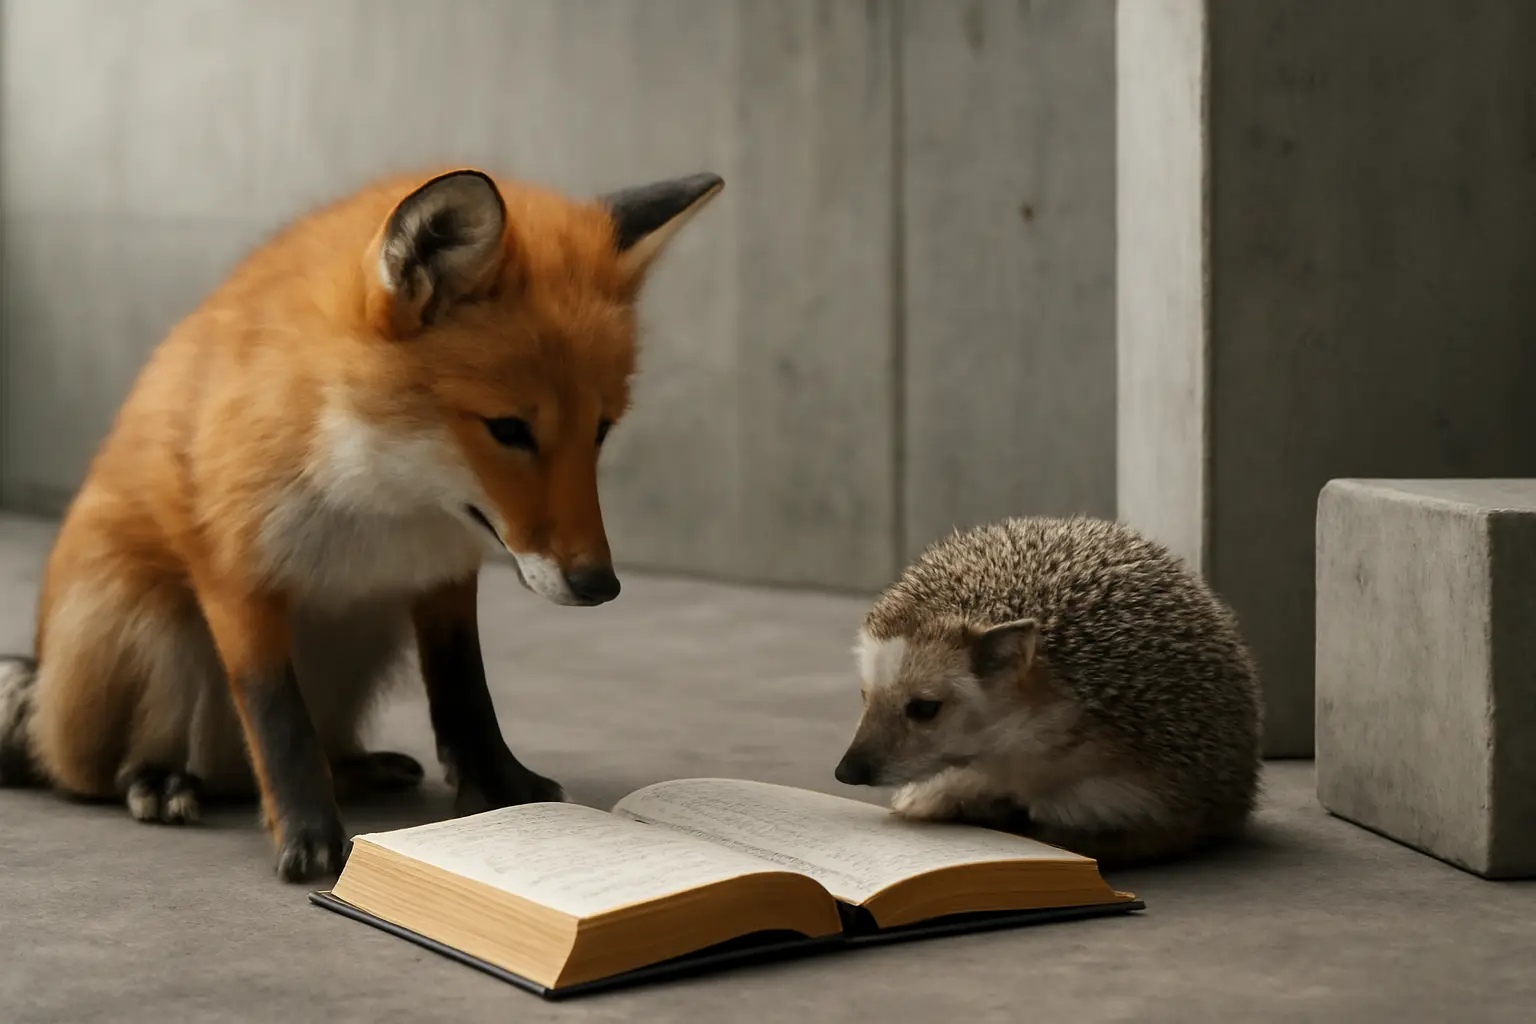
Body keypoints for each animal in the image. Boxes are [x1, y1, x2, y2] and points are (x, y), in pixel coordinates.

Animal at [0, 166, 723, 882]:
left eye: (601, 430)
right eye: (509, 429)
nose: (600, 585)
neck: (388, 497)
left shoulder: (442, 573)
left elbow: (466, 692)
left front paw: (501, 788)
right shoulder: (237, 569)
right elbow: (278, 717)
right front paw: (309, 834)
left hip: (365, 630)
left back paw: (355, 767)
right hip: (154, 625)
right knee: (96, 771)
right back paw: (156, 780)